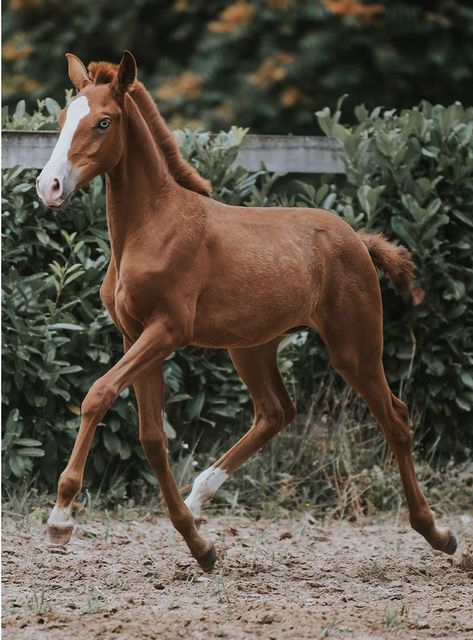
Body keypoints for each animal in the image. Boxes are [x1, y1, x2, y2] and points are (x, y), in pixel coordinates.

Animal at [37, 50, 458, 568]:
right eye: (62, 119)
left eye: (103, 122)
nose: (49, 187)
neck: (151, 226)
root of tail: (357, 239)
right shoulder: (134, 335)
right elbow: (152, 436)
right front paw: (199, 546)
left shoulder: (168, 331)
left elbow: (97, 395)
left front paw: (60, 520)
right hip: (252, 347)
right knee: (276, 411)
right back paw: (199, 498)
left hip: (353, 347)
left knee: (395, 419)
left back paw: (438, 533)